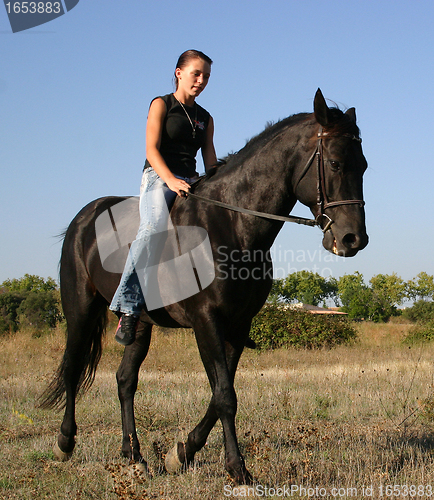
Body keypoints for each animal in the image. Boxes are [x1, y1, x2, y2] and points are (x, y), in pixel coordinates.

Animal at [39, 90, 366, 484]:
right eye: (335, 163)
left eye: (363, 166)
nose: (353, 239)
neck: (230, 224)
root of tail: (84, 217)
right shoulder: (206, 320)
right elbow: (225, 395)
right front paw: (238, 469)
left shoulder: (238, 325)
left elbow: (220, 393)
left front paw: (180, 453)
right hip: (80, 310)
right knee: (73, 367)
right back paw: (65, 442)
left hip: (141, 324)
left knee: (124, 380)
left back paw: (134, 455)